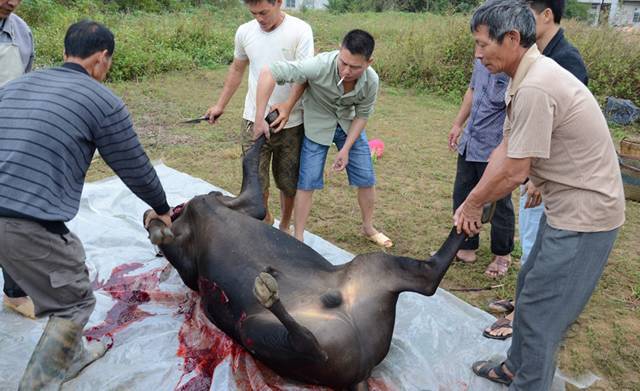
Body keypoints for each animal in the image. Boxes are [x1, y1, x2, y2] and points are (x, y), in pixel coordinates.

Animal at [146, 136, 496, 390]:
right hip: (361, 279)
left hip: (353, 283)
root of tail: (361, 374)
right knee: (426, 278)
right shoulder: (207, 248)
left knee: (313, 343)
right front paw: (156, 226)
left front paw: (265, 129)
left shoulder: (243, 207)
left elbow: (249, 166)